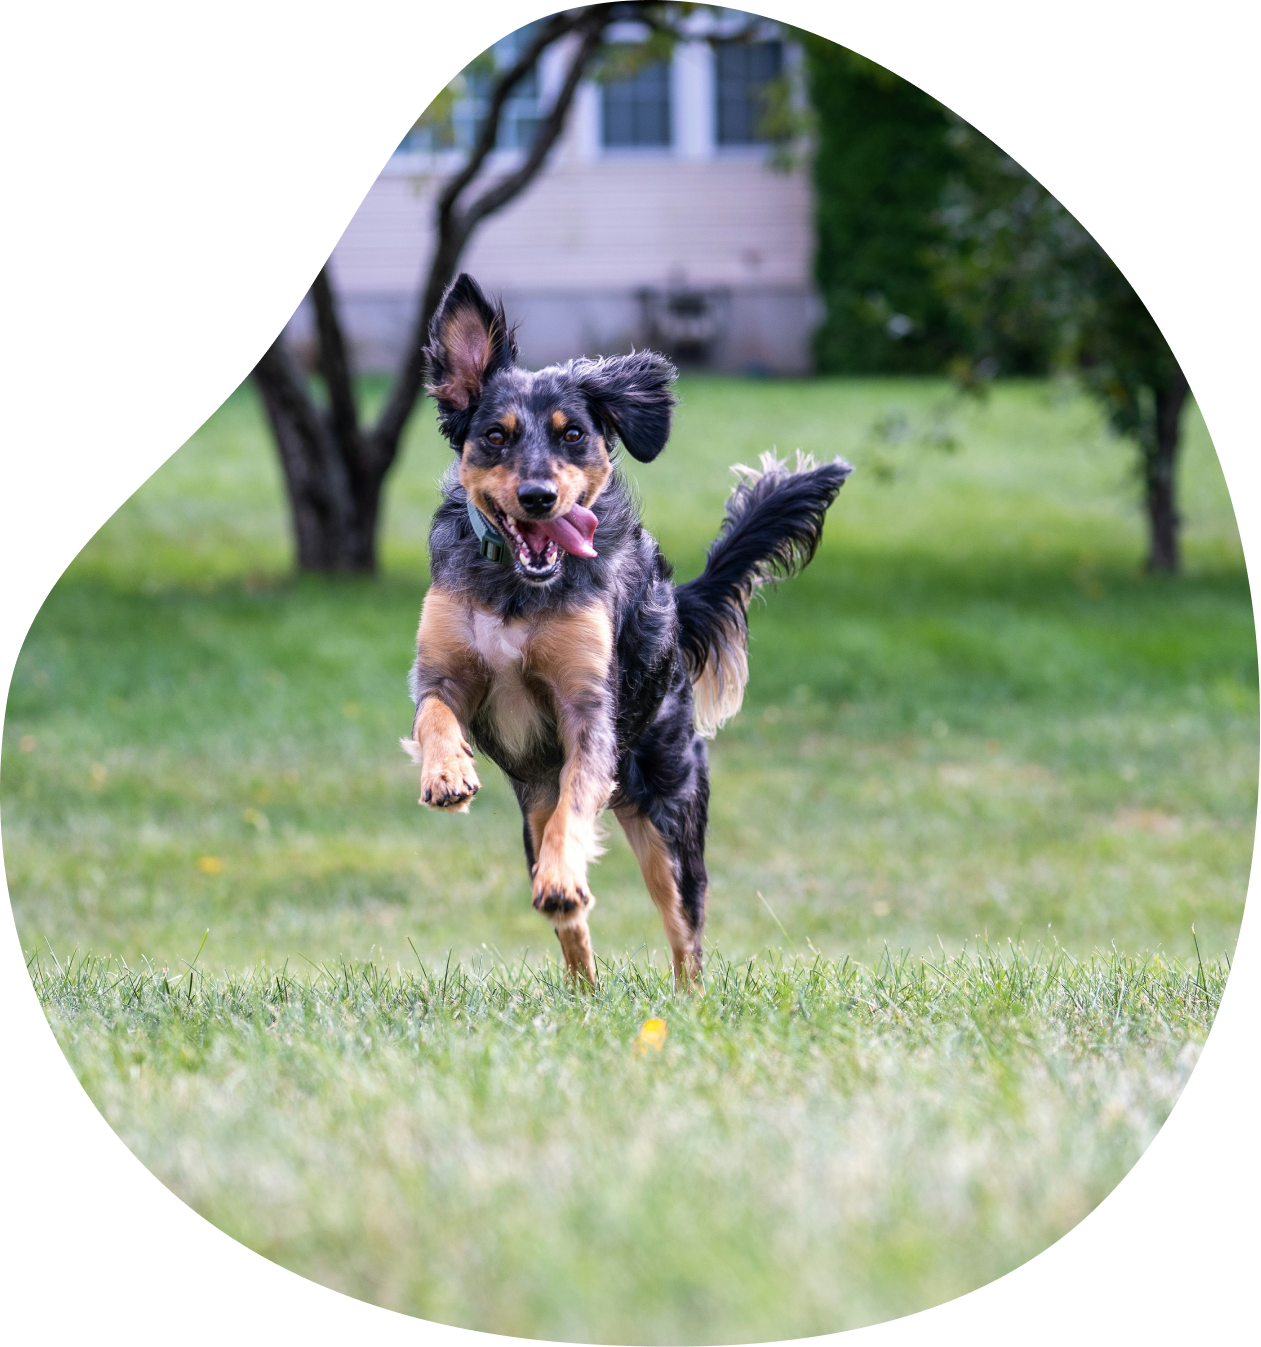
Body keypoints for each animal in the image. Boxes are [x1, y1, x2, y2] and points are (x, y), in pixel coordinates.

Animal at [401, 276, 856, 991]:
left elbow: (575, 812)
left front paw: (563, 875)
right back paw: (580, 982)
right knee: (571, 923)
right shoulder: (442, 672)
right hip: (535, 811)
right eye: (496, 436)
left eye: (574, 436)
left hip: (670, 818)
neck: (519, 592)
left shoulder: (589, 711)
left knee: (684, 935)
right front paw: (446, 774)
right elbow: (435, 717)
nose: (538, 496)